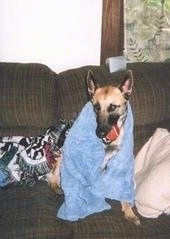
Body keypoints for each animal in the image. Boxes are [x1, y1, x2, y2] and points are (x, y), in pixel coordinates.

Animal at [48, 69, 140, 226]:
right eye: (96, 107)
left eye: (113, 107)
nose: (99, 133)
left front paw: (129, 211)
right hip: (62, 159)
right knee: (52, 177)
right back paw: (58, 188)